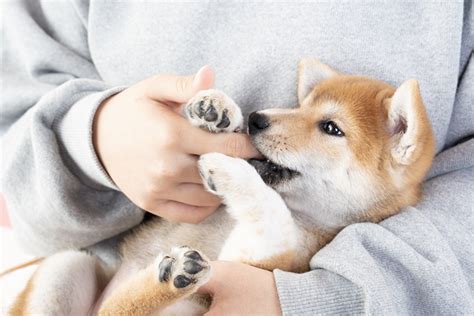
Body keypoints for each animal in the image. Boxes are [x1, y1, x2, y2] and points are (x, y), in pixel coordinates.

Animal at [10, 58, 434, 314]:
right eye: (301, 107)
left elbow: (273, 213)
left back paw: (174, 277)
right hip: (67, 264)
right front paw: (217, 110)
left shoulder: (259, 259)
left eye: (331, 128)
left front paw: (230, 168)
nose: (257, 119)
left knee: (120, 308)